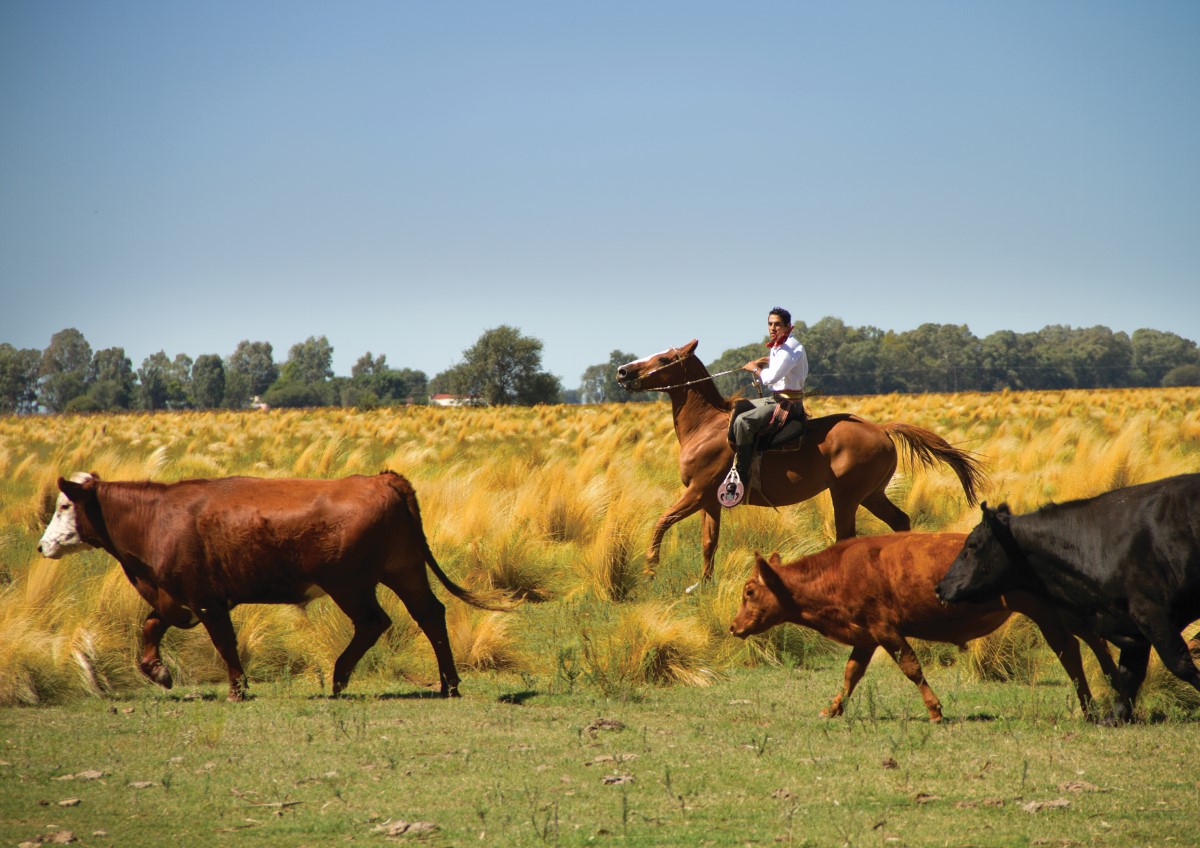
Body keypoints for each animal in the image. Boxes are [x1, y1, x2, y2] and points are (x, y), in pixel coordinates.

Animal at [38, 470, 511, 705]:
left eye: (63, 505)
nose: (43, 545)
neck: (157, 517)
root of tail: (381, 478)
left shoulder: (205, 601)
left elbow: (224, 644)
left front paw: (237, 690)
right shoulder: (176, 599)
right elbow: (152, 626)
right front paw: (157, 671)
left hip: (350, 583)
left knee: (374, 622)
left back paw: (340, 677)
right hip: (404, 570)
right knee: (430, 614)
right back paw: (448, 684)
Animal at [619, 340, 984, 582]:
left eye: (664, 358)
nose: (623, 371)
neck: (706, 426)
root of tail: (881, 428)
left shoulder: (695, 493)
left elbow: (661, 522)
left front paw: (650, 568)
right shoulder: (710, 500)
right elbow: (709, 543)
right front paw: (703, 585)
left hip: (847, 496)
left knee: (848, 536)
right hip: (871, 495)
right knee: (900, 521)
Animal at [724, 530, 1118, 724]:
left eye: (749, 591)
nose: (733, 626)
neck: (841, 570)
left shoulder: (885, 629)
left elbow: (911, 666)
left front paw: (935, 711)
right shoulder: (866, 636)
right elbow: (851, 673)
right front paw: (833, 710)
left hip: (1047, 612)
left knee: (1070, 651)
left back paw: (1090, 708)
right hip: (1062, 611)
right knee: (1093, 641)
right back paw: (1116, 693)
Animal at [936, 470, 1200, 724]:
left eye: (972, 545)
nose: (941, 587)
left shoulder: (1150, 612)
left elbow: (1180, 664)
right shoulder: (1131, 625)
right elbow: (1130, 673)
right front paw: (1115, 717)